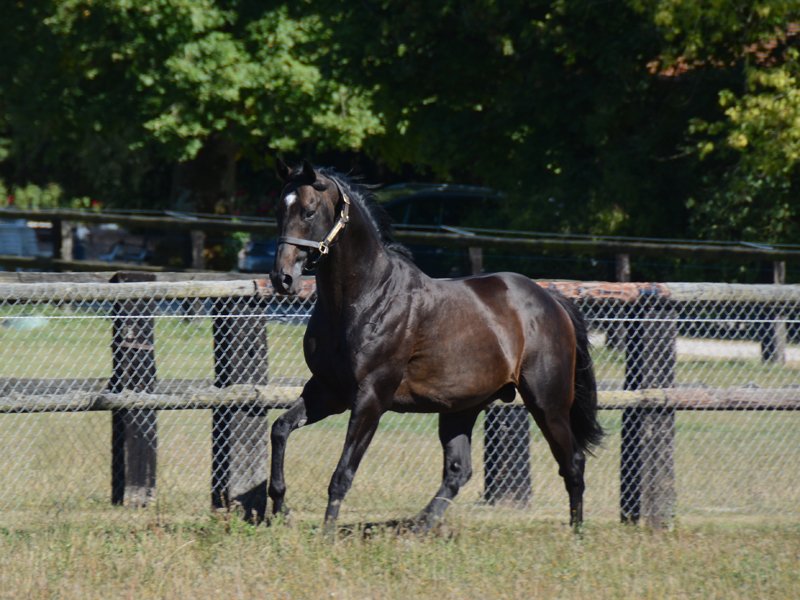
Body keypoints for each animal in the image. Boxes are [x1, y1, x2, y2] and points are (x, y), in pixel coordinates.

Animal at [268, 160, 603, 532]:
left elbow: (342, 473)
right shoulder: (328, 390)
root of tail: (552, 301)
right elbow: (279, 429)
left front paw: (326, 533)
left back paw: (577, 532)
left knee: (573, 462)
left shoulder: (371, 397)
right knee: (458, 471)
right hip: (461, 408)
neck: (366, 297)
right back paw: (419, 526)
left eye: (309, 211)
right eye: (278, 210)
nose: (282, 278)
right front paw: (281, 507)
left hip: (548, 403)